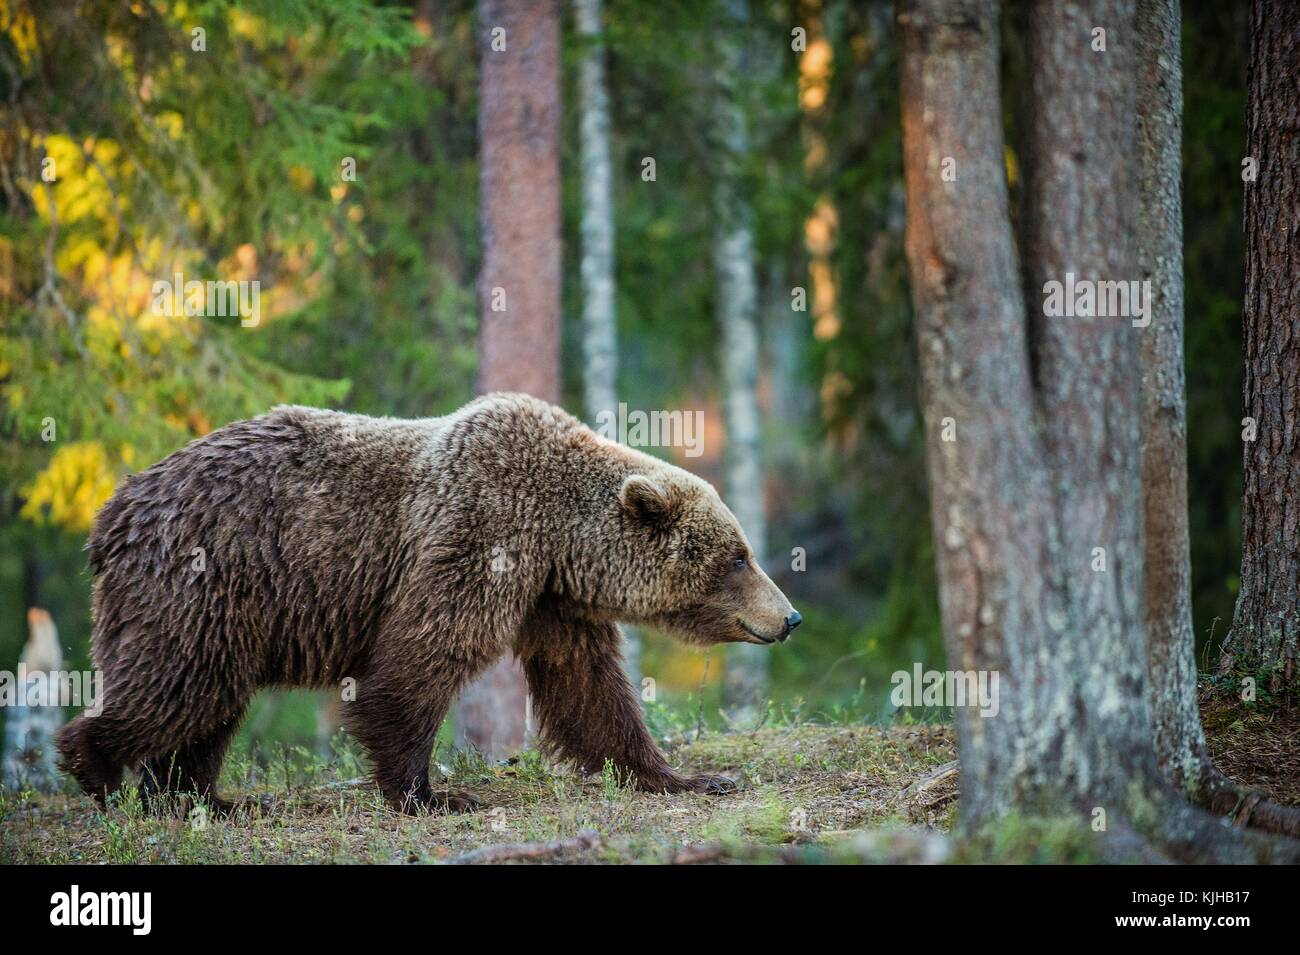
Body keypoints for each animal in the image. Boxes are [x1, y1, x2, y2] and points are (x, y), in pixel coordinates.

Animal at [56, 393, 800, 813]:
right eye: (738, 555)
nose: (789, 616)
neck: (559, 533)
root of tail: (116, 508)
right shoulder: (480, 534)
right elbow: (422, 657)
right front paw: (435, 793)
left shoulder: (550, 597)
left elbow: (588, 687)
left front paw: (688, 776)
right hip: (204, 579)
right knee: (178, 682)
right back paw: (95, 766)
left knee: (207, 703)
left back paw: (205, 796)